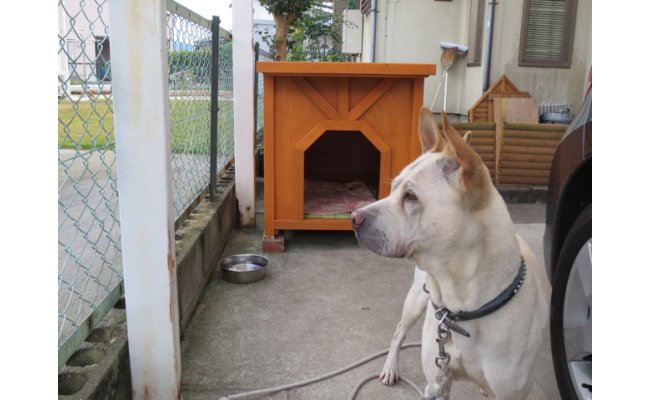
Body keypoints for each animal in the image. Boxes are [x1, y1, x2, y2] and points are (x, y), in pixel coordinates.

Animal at [352, 108, 548, 398]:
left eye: (410, 196)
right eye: (394, 187)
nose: (353, 218)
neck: (464, 304)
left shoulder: (511, 391)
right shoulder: (436, 383)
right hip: (415, 299)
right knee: (399, 331)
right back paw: (390, 367)